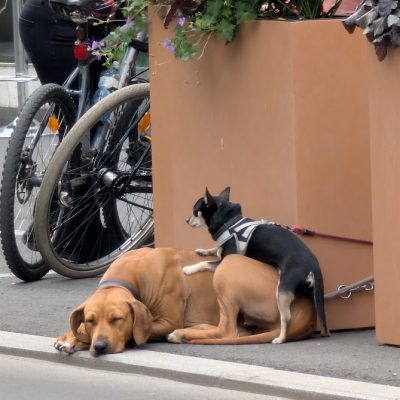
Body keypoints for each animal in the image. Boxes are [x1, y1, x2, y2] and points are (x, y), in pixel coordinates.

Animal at [54, 247, 316, 355]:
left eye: (118, 319)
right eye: (90, 320)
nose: (99, 347)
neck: (129, 274)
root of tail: (305, 302)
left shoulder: (167, 321)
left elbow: (139, 331)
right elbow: (78, 329)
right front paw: (70, 338)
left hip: (228, 267)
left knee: (227, 331)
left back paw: (182, 334)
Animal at [184, 187, 329, 343]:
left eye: (194, 211)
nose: (186, 220)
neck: (229, 222)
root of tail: (313, 265)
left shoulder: (225, 259)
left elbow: (206, 262)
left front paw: (188, 268)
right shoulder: (222, 251)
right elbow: (216, 249)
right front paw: (202, 250)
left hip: (282, 290)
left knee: (286, 317)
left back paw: (280, 338)